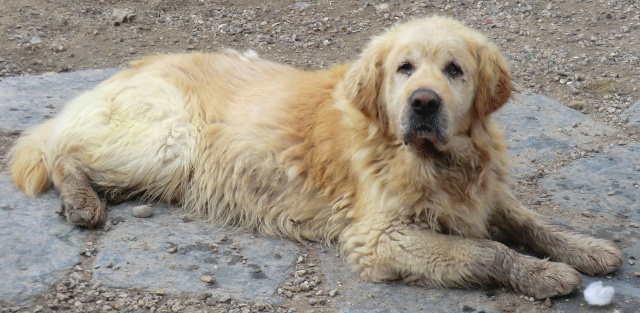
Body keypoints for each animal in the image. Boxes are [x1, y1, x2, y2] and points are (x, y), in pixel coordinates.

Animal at [8, 16, 620, 298]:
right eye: (404, 68)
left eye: (454, 70)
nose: (423, 103)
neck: (438, 162)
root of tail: (129, 69)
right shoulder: (381, 236)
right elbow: (488, 251)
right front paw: (542, 274)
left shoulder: (483, 195)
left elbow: (531, 222)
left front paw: (584, 247)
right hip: (170, 145)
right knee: (60, 151)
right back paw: (81, 201)